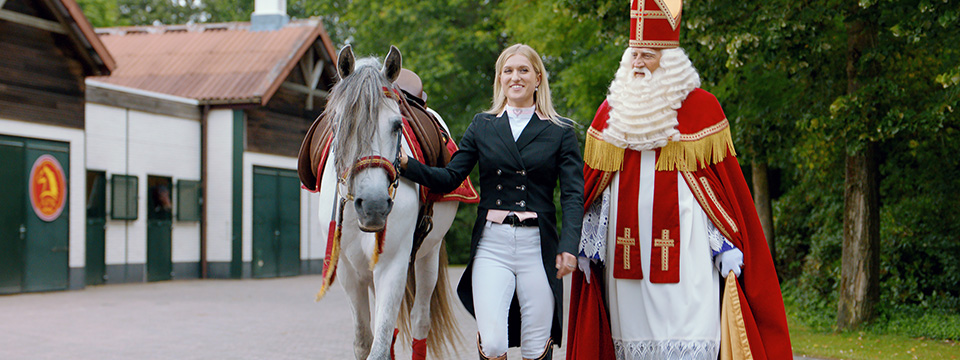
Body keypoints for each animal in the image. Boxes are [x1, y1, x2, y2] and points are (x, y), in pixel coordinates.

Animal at [312, 45, 462, 360]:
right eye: (340, 123)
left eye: (396, 125)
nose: (374, 206)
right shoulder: (348, 270)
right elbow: (364, 342)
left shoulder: (393, 264)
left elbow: (379, 348)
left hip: (427, 256)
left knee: (420, 321)